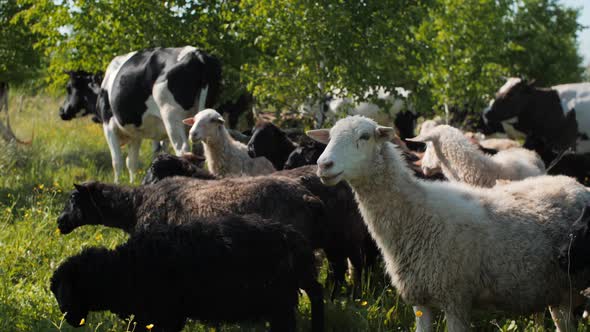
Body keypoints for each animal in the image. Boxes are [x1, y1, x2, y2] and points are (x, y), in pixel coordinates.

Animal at [51, 214, 326, 330]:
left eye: (65, 290)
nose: (68, 319)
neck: (122, 268)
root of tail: (292, 237)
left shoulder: (163, 316)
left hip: (280, 300)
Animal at [95, 46, 222, 182]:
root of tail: (197, 54)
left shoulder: (108, 125)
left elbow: (117, 161)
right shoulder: (136, 134)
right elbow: (132, 162)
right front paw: (132, 183)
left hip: (171, 115)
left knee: (183, 149)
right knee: (199, 152)